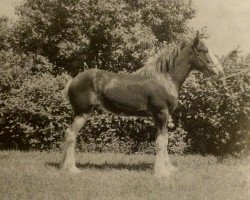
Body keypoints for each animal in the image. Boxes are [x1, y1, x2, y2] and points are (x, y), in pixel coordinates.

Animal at [59, 32, 224, 178]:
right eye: (204, 51)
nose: (218, 72)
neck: (165, 78)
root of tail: (73, 81)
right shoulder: (161, 113)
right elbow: (161, 142)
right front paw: (161, 172)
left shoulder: (163, 116)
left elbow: (165, 140)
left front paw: (169, 168)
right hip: (83, 113)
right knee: (70, 134)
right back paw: (72, 168)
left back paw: (63, 166)